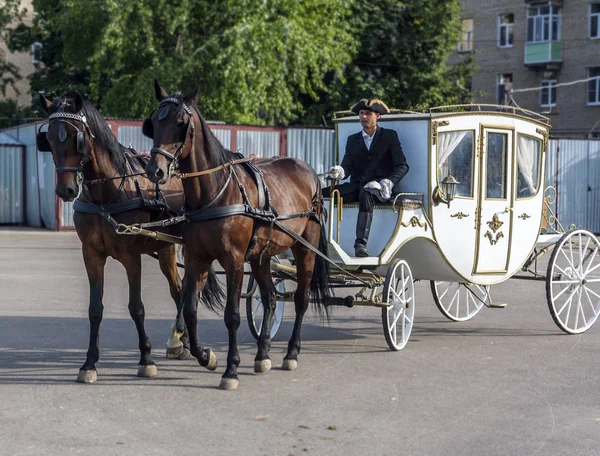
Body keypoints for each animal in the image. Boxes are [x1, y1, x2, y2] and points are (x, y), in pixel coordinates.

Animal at [37, 94, 225, 382]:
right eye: (48, 138)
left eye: (76, 137)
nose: (65, 190)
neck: (107, 195)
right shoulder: (91, 255)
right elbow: (95, 309)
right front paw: (89, 363)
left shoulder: (131, 257)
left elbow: (136, 307)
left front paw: (145, 359)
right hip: (167, 247)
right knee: (179, 290)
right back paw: (178, 341)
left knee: (189, 288)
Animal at [144, 81, 332, 388]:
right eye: (154, 123)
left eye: (181, 123)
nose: (155, 170)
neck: (214, 193)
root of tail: (311, 173)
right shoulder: (197, 257)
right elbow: (190, 309)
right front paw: (205, 356)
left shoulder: (233, 260)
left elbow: (231, 315)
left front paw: (230, 368)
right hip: (261, 256)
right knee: (270, 298)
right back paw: (262, 354)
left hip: (305, 248)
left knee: (301, 299)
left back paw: (291, 353)